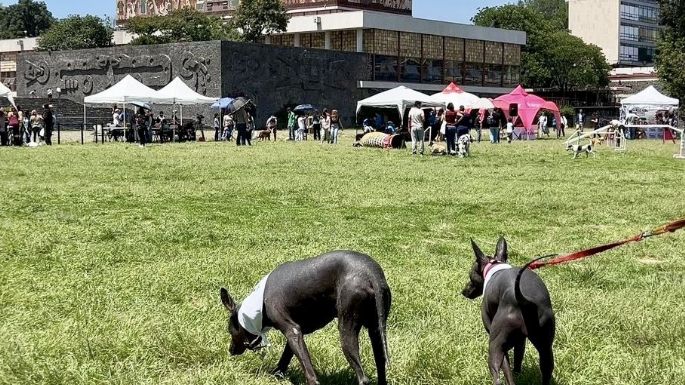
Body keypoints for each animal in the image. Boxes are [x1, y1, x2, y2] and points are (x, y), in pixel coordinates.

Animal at [219, 249, 390, 384]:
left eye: (230, 331)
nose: (230, 350)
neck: (258, 304)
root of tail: (371, 272)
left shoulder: (292, 330)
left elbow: (310, 374)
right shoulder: (297, 334)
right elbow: (285, 357)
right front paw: (276, 374)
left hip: (346, 331)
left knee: (363, 378)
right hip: (376, 332)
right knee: (381, 365)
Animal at [460, 237, 556, 384]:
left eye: (470, 276)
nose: (463, 291)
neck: (495, 267)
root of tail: (523, 299)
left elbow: (506, 367)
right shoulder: (520, 340)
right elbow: (518, 356)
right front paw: (518, 372)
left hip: (495, 347)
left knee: (498, 377)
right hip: (546, 347)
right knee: (546, 368)